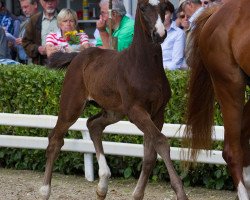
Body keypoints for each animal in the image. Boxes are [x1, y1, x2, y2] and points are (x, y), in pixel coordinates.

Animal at [39, 0, 188, 200]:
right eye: (143, 8)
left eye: (164, 8)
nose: (159, 34)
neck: (144, 66)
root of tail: (78, 55)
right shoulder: (136, 111)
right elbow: (161, 142)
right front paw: (180, 191)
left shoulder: (157, 113)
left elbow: (150, 154)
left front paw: (137, 194)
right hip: (71, 106)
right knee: (55, 139)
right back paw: (45, 190)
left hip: (113, 112)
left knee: (93, 125)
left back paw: (102, 184)